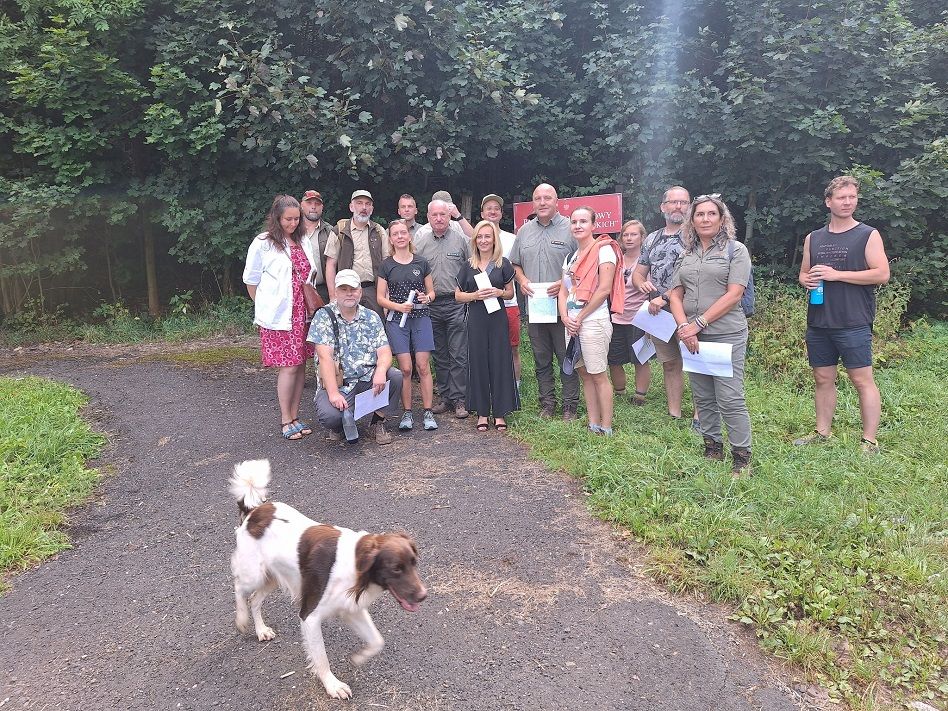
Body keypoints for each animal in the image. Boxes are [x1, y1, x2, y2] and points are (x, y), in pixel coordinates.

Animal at [229, 462, 426, 700]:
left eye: (414, 563)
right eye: (396, 569)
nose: (423, 595)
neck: (356, 566)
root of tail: (254, 511)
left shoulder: (351, 609)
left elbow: (377, 640)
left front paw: (358, 658)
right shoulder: (310, 616)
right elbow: (321, 658)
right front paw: (333, 685)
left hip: (272, 578)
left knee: (255, 600)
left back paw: (261, 630)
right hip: (254, 574)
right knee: (240, 589)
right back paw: (241, 620)